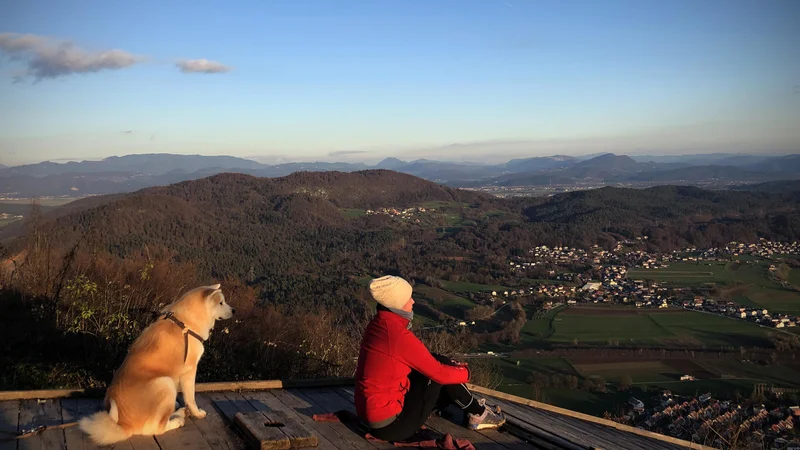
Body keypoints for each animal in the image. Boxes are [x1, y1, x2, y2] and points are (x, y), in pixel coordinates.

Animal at [78, 284, 234, 444]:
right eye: (221, 302)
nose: (234, 310)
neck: (185, 324)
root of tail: (124, 425)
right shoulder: (189, 371)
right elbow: (190, 398)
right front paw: (197, 413)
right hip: (165, 383)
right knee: (157, 428)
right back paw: (178, 418)